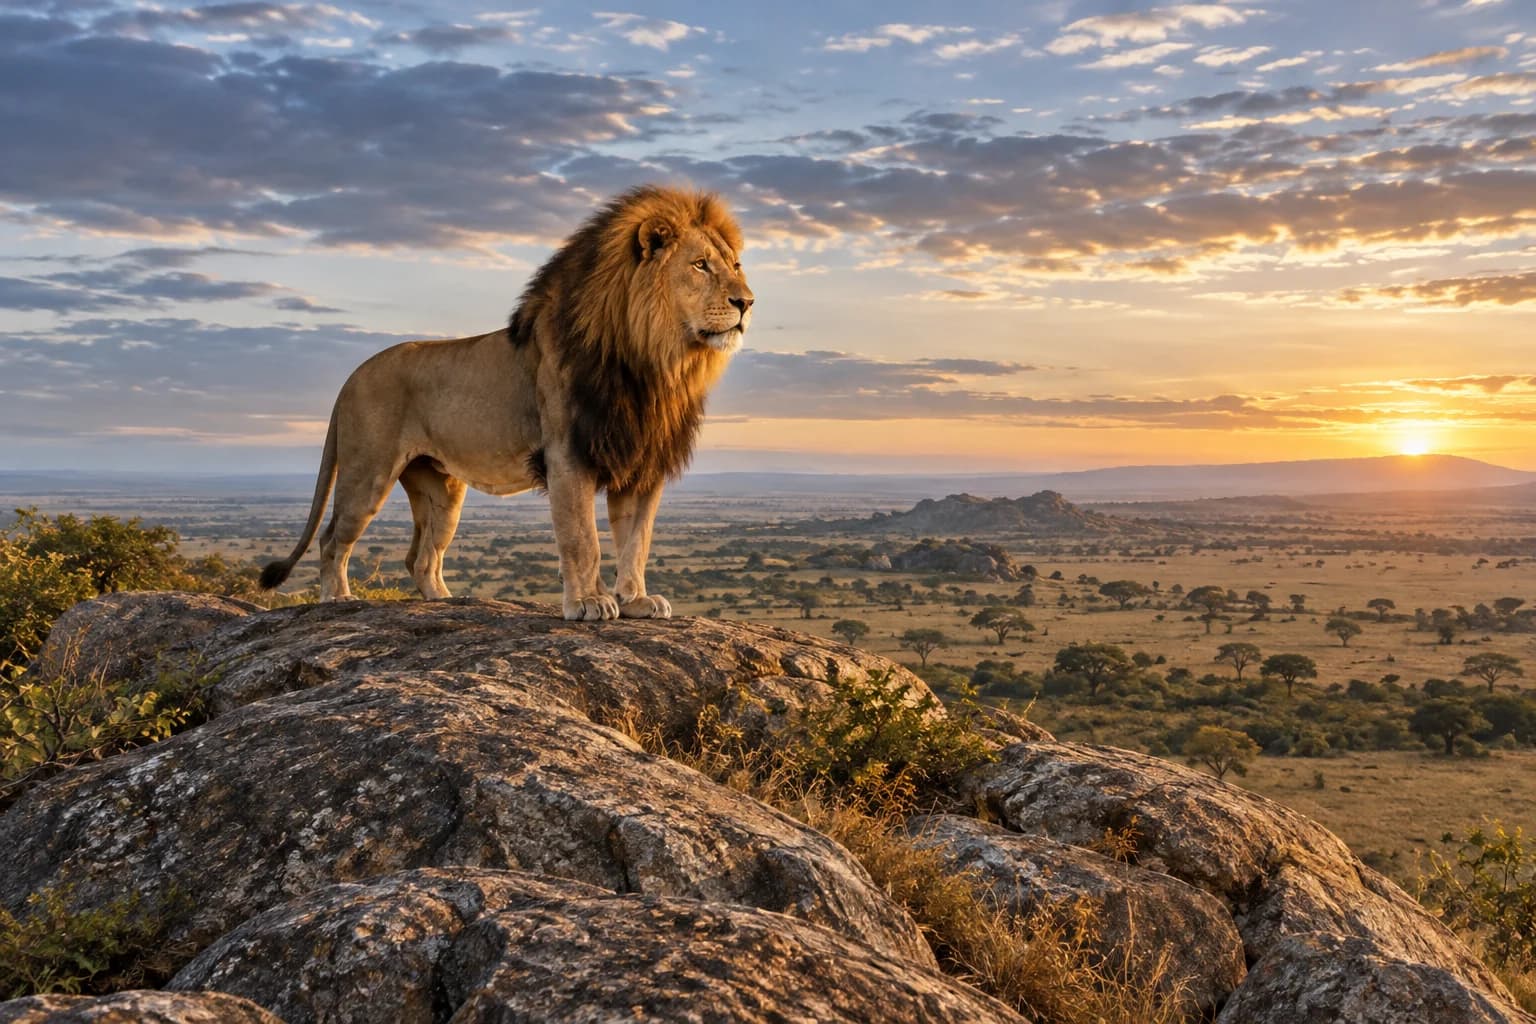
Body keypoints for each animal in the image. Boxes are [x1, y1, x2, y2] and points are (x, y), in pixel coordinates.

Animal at [259, 185, 753, 620]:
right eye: (701, 265)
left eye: (735, 264)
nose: (746, 302)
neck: (653, 361)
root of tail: (352, 376)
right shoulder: (567, 453)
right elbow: (582, 538)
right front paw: (589, 604)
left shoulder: (641, 459)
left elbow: (636, 541)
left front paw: (635, 601)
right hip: (368, 473)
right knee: (332, 540)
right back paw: (338, 599)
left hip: (441, 489)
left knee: (421, 557)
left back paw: (446, 602)